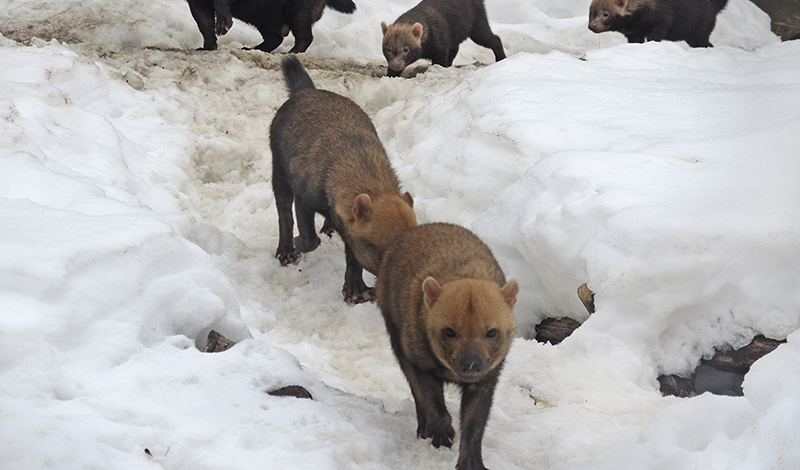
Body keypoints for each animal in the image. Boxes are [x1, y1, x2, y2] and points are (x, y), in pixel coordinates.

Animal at [188, 0, 356, 52]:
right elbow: (204, 23)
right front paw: (206, 48)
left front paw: (223, 24)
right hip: (262, 17)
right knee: (275, 38)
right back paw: (251, 49)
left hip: (298, 11)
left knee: (305, 36)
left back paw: (290, 53)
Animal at [270, 56, 418, 304]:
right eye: (388, 250)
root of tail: (306, 90)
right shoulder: (304, 198)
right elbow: (308, 238)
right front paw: (299, 243)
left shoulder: (351, 226)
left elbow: (354, 256)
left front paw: (356, 290)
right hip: (278, 172)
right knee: (284, 214)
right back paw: (286, 251)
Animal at [376, 223, 520, 470]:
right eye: (450, 331)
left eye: (491, 332)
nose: (471, 365)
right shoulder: (419, 360)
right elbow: (431, 400)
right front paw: (441, 435)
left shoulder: (486, 380)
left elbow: (474, 426)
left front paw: (471, 462)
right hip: (396, 338)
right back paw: (423, 428)